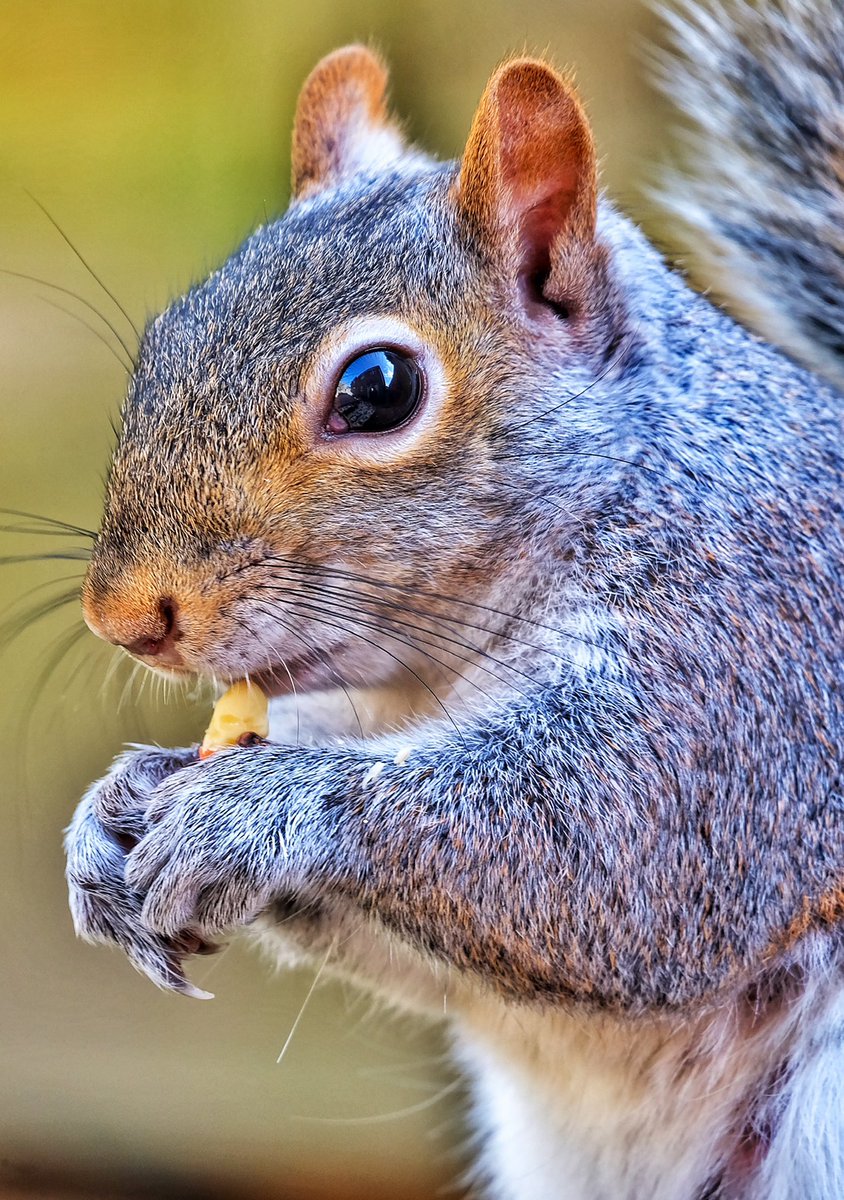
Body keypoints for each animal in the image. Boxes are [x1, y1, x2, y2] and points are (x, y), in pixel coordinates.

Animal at [63, 0, 844, 1197]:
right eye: (164, 339)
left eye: (377, 388)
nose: (124, 617)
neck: (436, 680)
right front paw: (112, 811)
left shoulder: (752, 667)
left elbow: (624, 845)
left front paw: (257, 806)